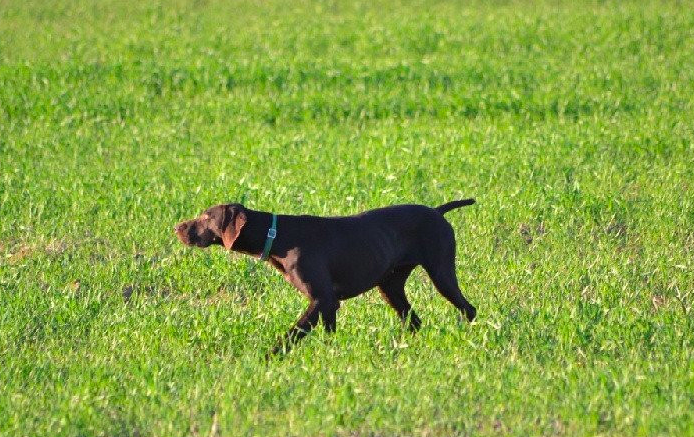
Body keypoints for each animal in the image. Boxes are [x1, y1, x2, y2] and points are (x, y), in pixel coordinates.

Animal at [175, 200, 478, 354]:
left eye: (207, 217)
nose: (178, 227)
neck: (278, 235)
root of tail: (437, 211)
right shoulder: (330, 304)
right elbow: (329, 335)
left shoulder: (321, 299)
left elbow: (291, 334)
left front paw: (268, 358)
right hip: (390, 285)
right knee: (413, 320)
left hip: (441, 272)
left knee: (468, 309)